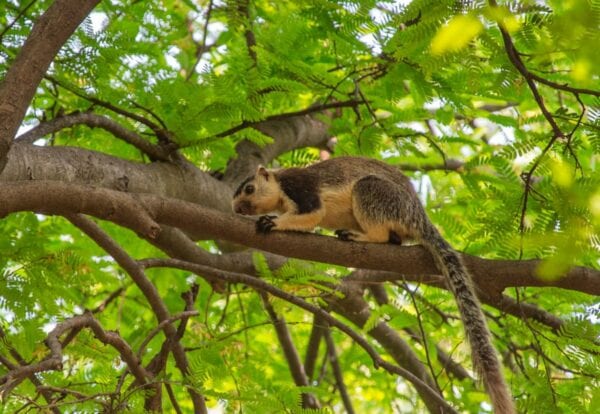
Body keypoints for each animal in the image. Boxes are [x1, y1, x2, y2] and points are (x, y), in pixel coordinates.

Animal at [232, 156, 512, 414]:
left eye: (249, 189)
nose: (236, 209)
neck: (279, 188)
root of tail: (419, 217)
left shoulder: (300, 187)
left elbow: (313, 212)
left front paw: (273, 221)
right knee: (394, 240)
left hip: (374, 193)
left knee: (380, 231)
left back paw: (358, 235)